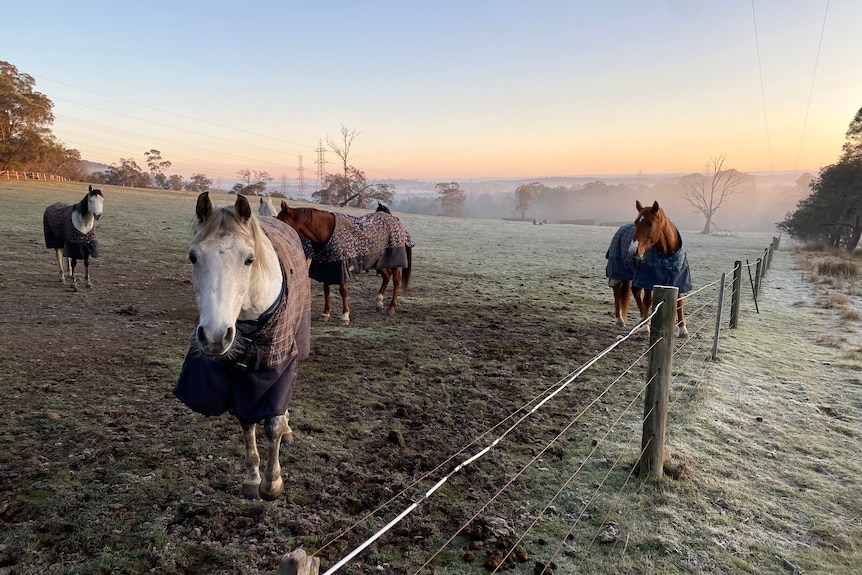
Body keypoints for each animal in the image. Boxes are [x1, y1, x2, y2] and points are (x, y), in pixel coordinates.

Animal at [276, 201, 414, 326]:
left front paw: (345, 316)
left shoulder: (342, 267)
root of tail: (394, 218)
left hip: (393, 260)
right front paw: (325, 313)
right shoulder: (326, 266)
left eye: (282, 222)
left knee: (396, 280)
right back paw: (379, 303)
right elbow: (326, 289)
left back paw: (391, 307)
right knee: (386, 276)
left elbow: (343, 291)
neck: (326, 232)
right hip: (377, 261)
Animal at [608, 201, 696, 338]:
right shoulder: (648, 278)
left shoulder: (677, 278)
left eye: (650, 223)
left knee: (635, 291)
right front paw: (645, 328)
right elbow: (648, 301)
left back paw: (642, 319)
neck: (667, 255)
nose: (633, 250)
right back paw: (621, 320)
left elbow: (679, 302)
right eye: (636, 222)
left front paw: (683, 330)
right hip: (618, 271)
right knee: (617, 292)